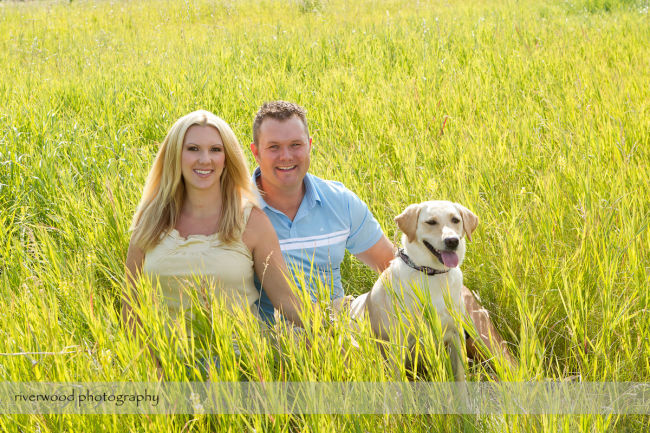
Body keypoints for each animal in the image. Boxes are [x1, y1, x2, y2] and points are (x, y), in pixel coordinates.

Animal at [350, 200, 476, 382]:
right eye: (431, 222)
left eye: (455, 220)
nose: (452, 241)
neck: (431, 273)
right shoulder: (400, 341)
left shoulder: (455, 335)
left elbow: (460, 378)